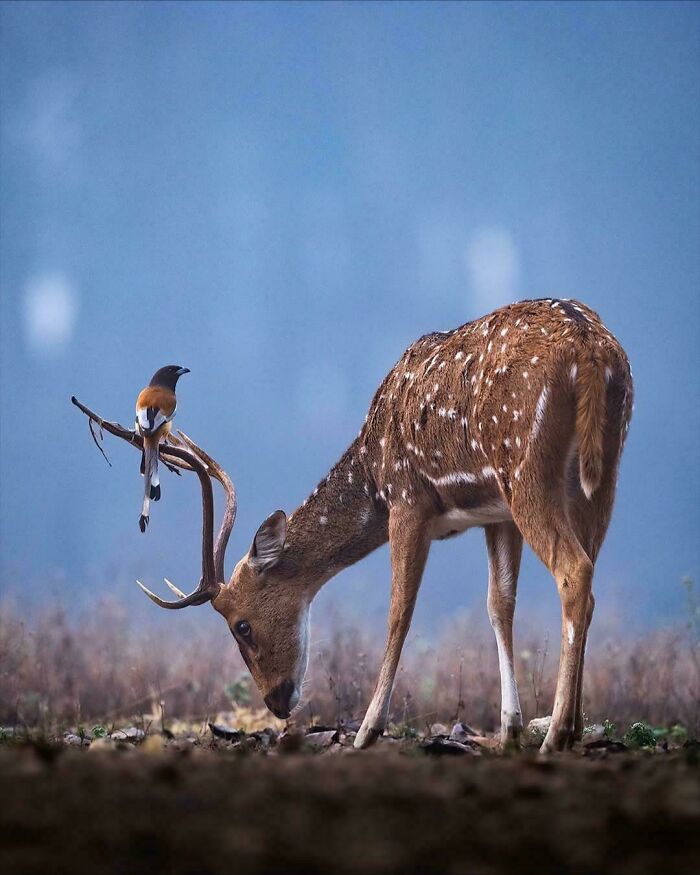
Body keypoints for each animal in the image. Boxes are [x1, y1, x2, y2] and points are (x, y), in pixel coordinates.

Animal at [73, 297, 633, 753]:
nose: (277, 702)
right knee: (589, 578)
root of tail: (595, 354)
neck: (372, 473)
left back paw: (557, 732)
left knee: (573, 572)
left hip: (526, 467)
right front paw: (511, 727)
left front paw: (367, 729)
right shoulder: (494, 515)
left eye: (241, 625)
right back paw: (573, 725)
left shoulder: (409, 499)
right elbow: (499, 606)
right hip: (598, 477)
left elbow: (398, 612)